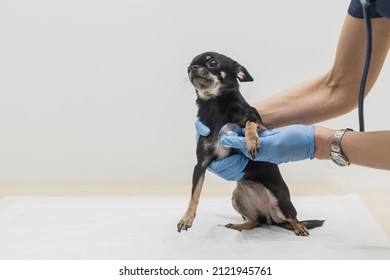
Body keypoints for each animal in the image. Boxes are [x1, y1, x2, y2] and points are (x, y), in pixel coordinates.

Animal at [178, 51, 324, 235]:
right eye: (188, 66)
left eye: (213, 63)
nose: (192, 68)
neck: (214, 105)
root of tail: (270, 217)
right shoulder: (201, 165)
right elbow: (194, 195)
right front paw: (186, 218)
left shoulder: (262, 126)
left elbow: (249, 122)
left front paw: (252, 142)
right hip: (237, 198)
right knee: (254, 222)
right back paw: (240, 225)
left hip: (281, 202)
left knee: (292, 218)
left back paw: (300, 227)